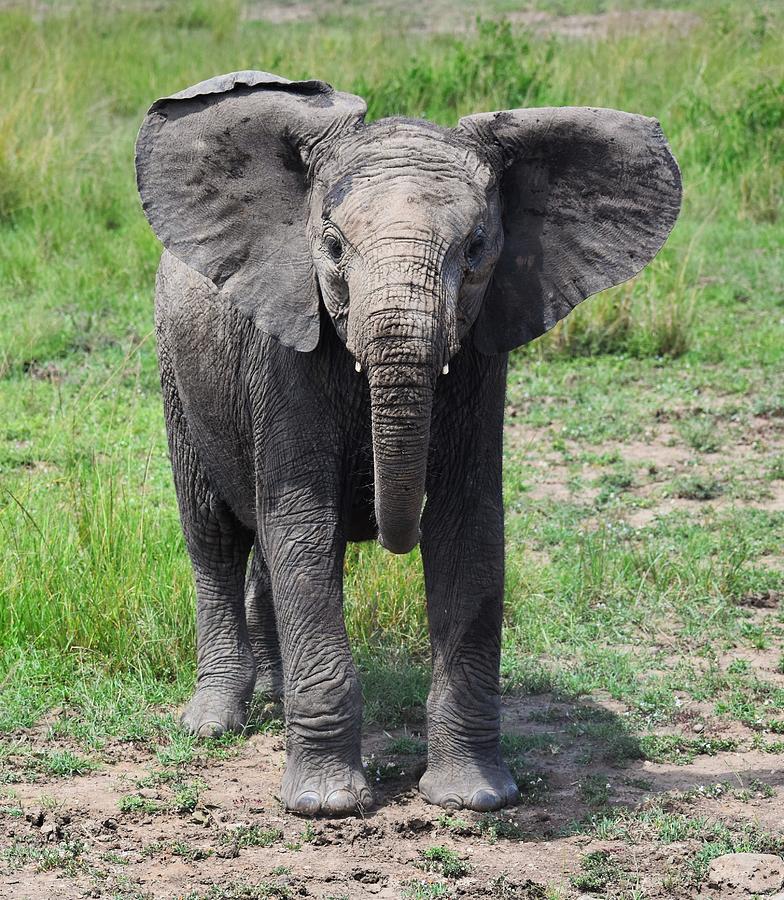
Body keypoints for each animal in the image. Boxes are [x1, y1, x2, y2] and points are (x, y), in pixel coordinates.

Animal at [135, 70, 680, 816]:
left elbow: (467, 530)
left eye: (476, 248)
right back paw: (214, 723)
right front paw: (328, 806)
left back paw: (276, 696)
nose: (388, 522)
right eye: (333, 247)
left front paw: (473, 798)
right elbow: (305, 528)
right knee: (214, 532)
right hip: (175, 368)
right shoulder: (282, 352)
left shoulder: (481, 354)